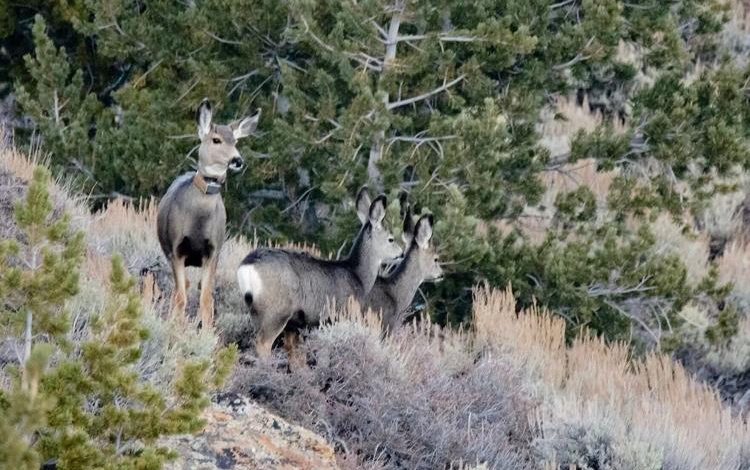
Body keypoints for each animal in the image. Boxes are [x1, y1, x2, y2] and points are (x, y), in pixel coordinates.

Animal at [158, 99, 262, 326]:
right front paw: (177, 328)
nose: (237, 160)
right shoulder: (176, 249)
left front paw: (207, 331)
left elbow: (206, 298)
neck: (198, 222)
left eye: (235, 141)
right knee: (181, 289)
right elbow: (181, 296)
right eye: (216, 140)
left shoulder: (213, 251)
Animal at [239, 187, 406, 356]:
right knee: (263, 343)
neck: (358, 276)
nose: (402, 253)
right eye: (391, 239)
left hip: (256, 311)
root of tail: (247, 266)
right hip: (277, 311)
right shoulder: (342, 314)